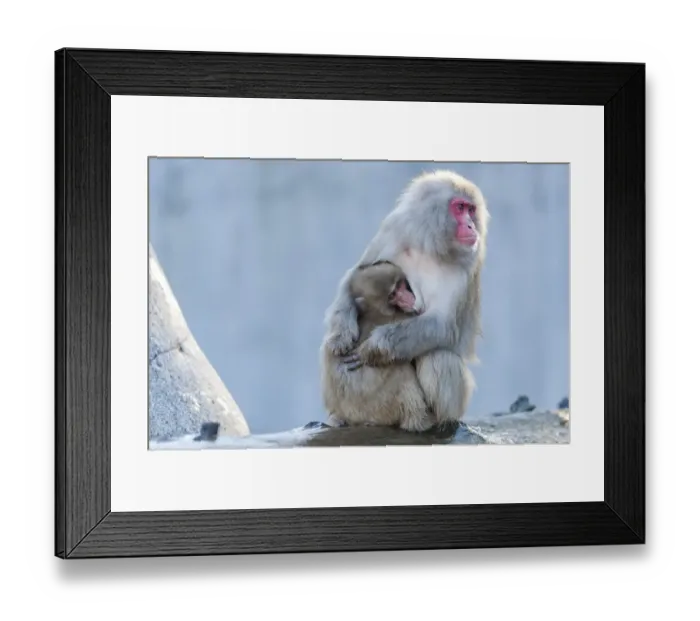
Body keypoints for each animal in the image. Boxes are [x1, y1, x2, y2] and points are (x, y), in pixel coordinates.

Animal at [320, 260, 436, 432]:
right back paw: (420, 421)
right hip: (384, 409)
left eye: (401, 285)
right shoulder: (405, 316)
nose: (408, 298)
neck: (375, 310)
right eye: (393, 295)